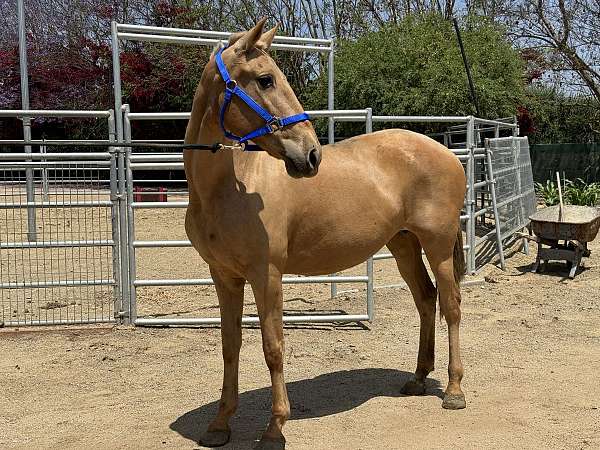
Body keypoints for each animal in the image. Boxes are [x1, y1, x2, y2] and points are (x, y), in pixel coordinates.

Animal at [185, 18, 466, 450]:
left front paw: (275, 428)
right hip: (403, 245)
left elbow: (273, 347)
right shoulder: (224, 277)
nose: (311, 154)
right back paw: (418, 378)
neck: (226, 189)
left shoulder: (266, 275)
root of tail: (448, 153)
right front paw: (219, 424)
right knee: (426, 299)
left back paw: (453, 390)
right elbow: (230, 346)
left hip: (438, 246)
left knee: (451, 305)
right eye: (266, 79)